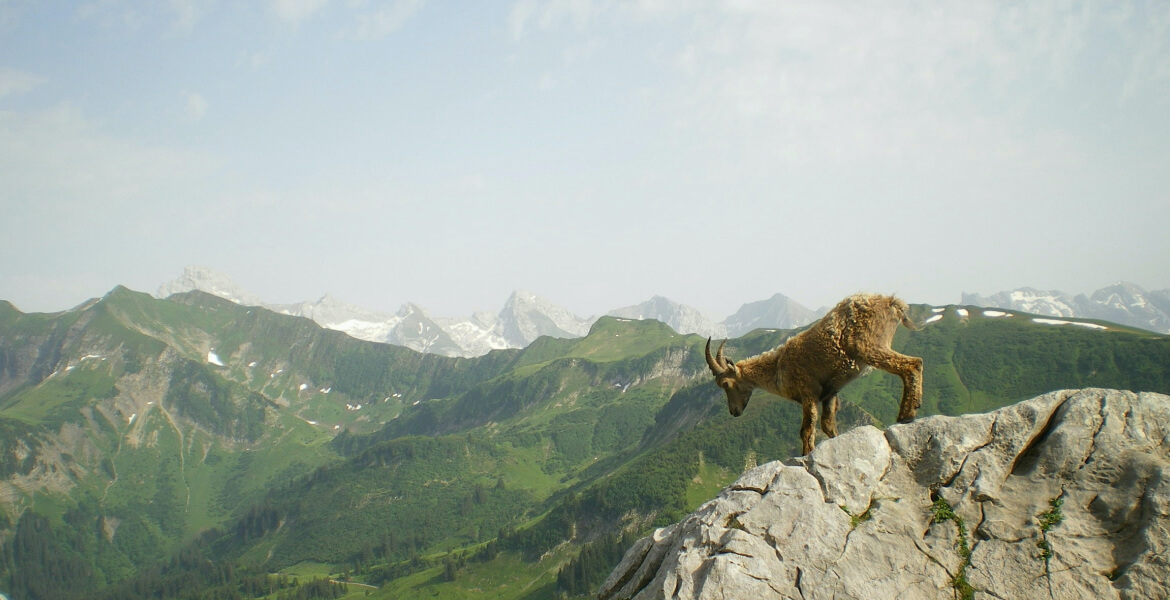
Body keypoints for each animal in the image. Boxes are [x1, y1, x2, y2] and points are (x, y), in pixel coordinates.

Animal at [702, 291, 921, 453]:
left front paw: (806, 454)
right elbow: (828, 425)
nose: (734, 411)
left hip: (869, 346)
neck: (778, 367)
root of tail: (893, 303)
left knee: (913, 364)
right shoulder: (830, 393)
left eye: (726, 384)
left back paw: (906, 414)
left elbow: (806, 430)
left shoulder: (808, 392)